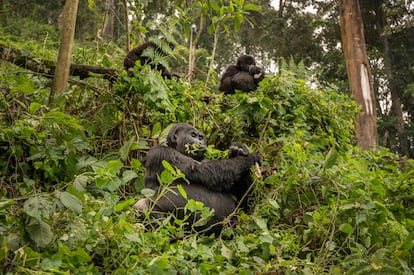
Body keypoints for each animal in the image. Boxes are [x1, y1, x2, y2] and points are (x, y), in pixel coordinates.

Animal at [133, 124, 262, 236]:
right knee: (142, 205)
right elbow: (204, 171)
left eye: (201, 138)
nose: (200, 142)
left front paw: (238, 150)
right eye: (193, 135)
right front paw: (250, 158)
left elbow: (246, 205)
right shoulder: (162, 153)